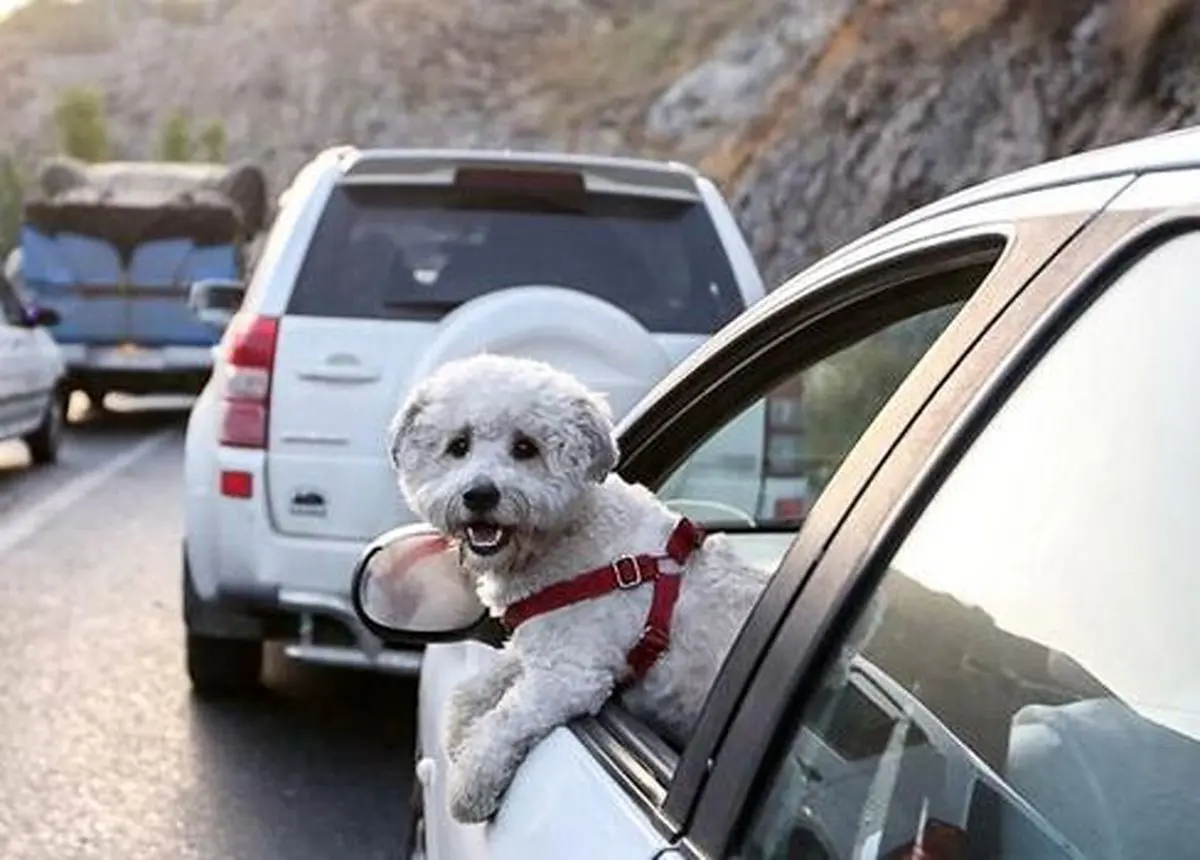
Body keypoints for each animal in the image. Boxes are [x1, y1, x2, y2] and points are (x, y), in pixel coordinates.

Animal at [391, 352, 768, 820]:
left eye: (525, 447)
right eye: (458, 445)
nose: (480, 495)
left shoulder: (570, 674)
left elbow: (504, 721)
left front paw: (468, 786)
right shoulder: (540, 641)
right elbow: (476, 687)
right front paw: (460, 726)